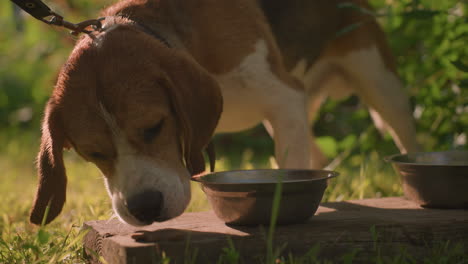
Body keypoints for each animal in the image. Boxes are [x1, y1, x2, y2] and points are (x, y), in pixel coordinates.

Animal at [31, 0, 420, 227]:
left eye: (154, 127)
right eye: (93, 153)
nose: (144, 208)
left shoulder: (284, 97)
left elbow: (289, 166)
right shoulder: (288, 108)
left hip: (380, 82)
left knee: (405, 134)